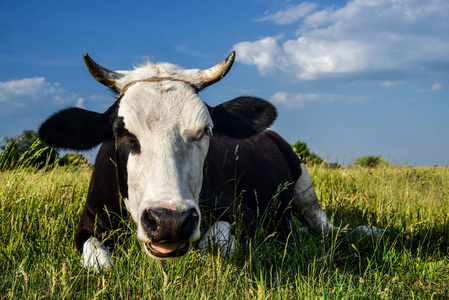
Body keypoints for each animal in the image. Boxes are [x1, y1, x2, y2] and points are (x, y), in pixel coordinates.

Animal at [39, 51, 382, 270]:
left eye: (206, 129)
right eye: (120, 132)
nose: (169, 220)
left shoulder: (245, 213)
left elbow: (214, 244)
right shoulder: (88, 223)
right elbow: (99, 263)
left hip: (304, 182)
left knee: (323, 225)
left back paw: (365, 231)